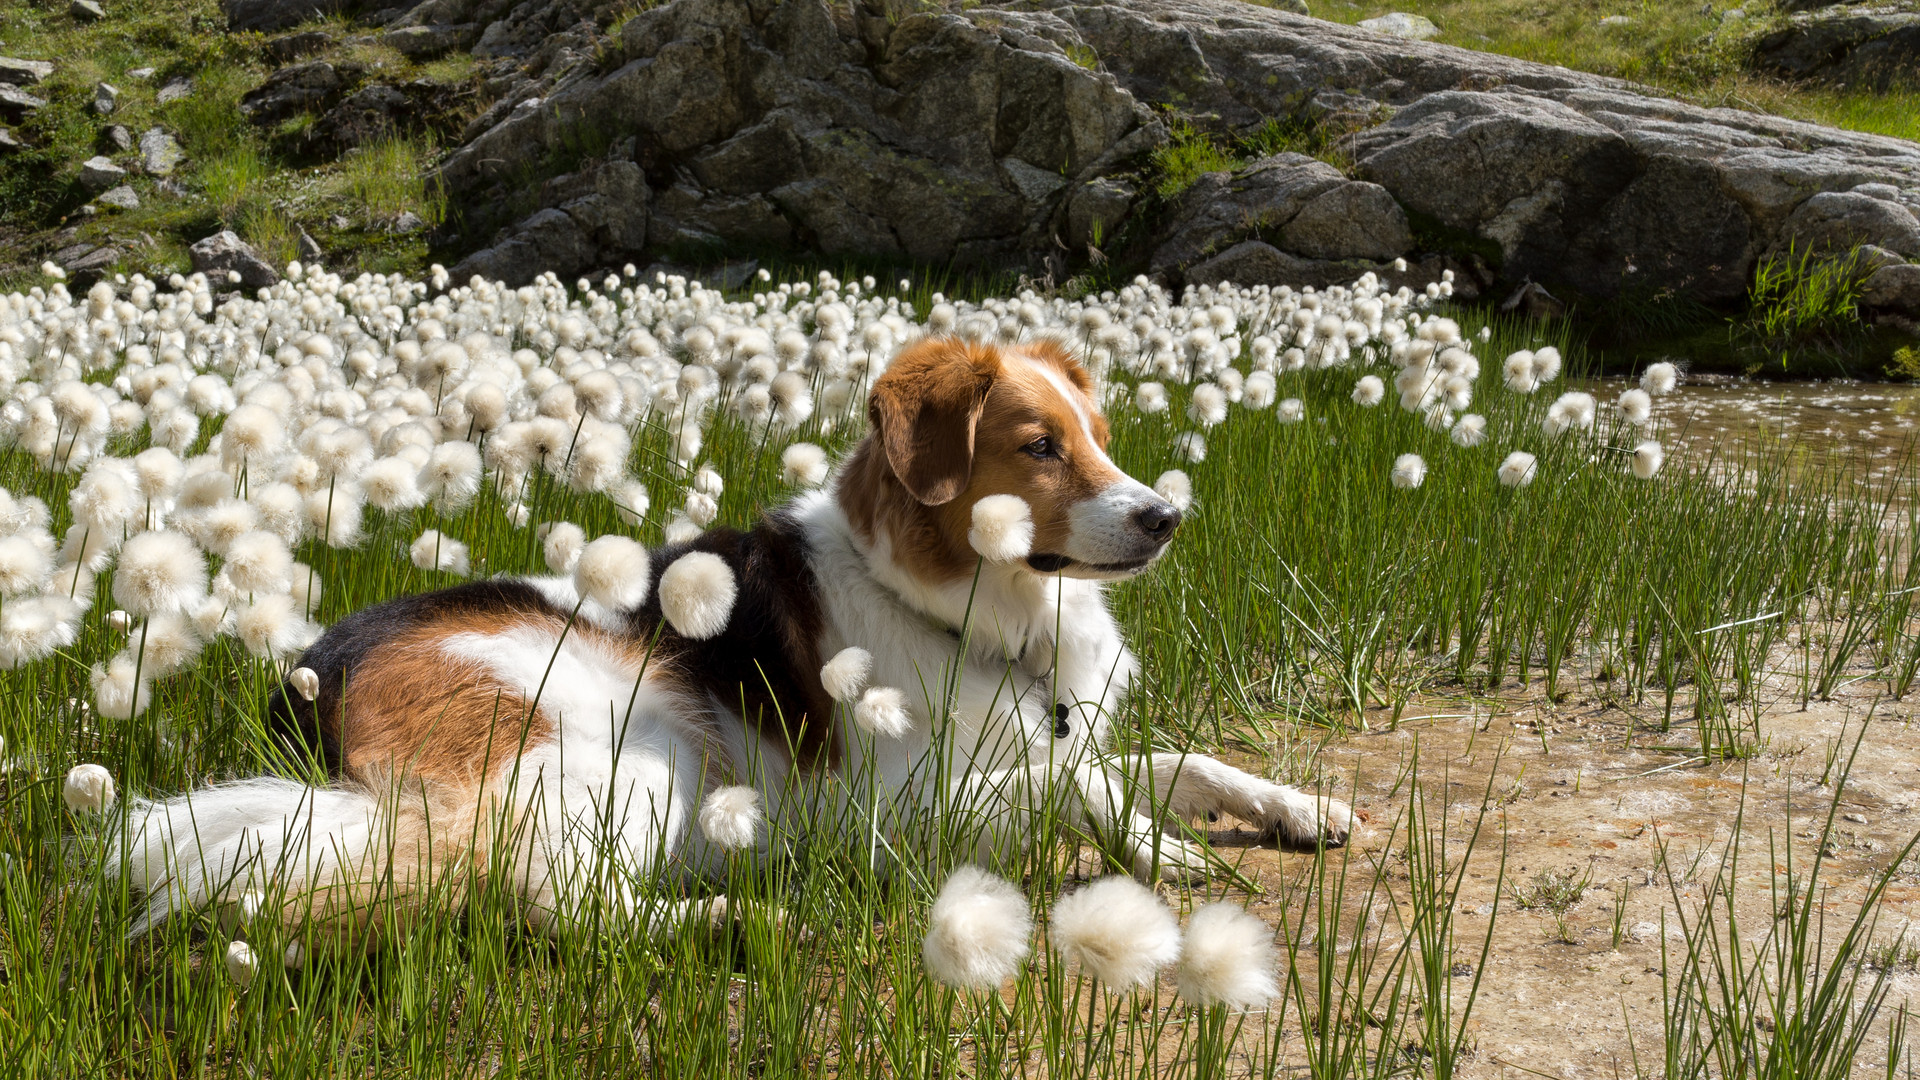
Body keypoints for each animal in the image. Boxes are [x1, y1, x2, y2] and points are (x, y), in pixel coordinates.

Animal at [120, 334, 1351, 933]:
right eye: (1038, 447)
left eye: (1098, 435)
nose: (1164, 518)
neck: (963, 610)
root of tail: (309, 671)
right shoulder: (895, 808)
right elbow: (1086, 784)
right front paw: (1160, 850)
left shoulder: (1046, 736)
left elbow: (1174, 759)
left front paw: (1298, 806)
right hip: (633, 747)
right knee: (556, 903)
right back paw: (741, 918)